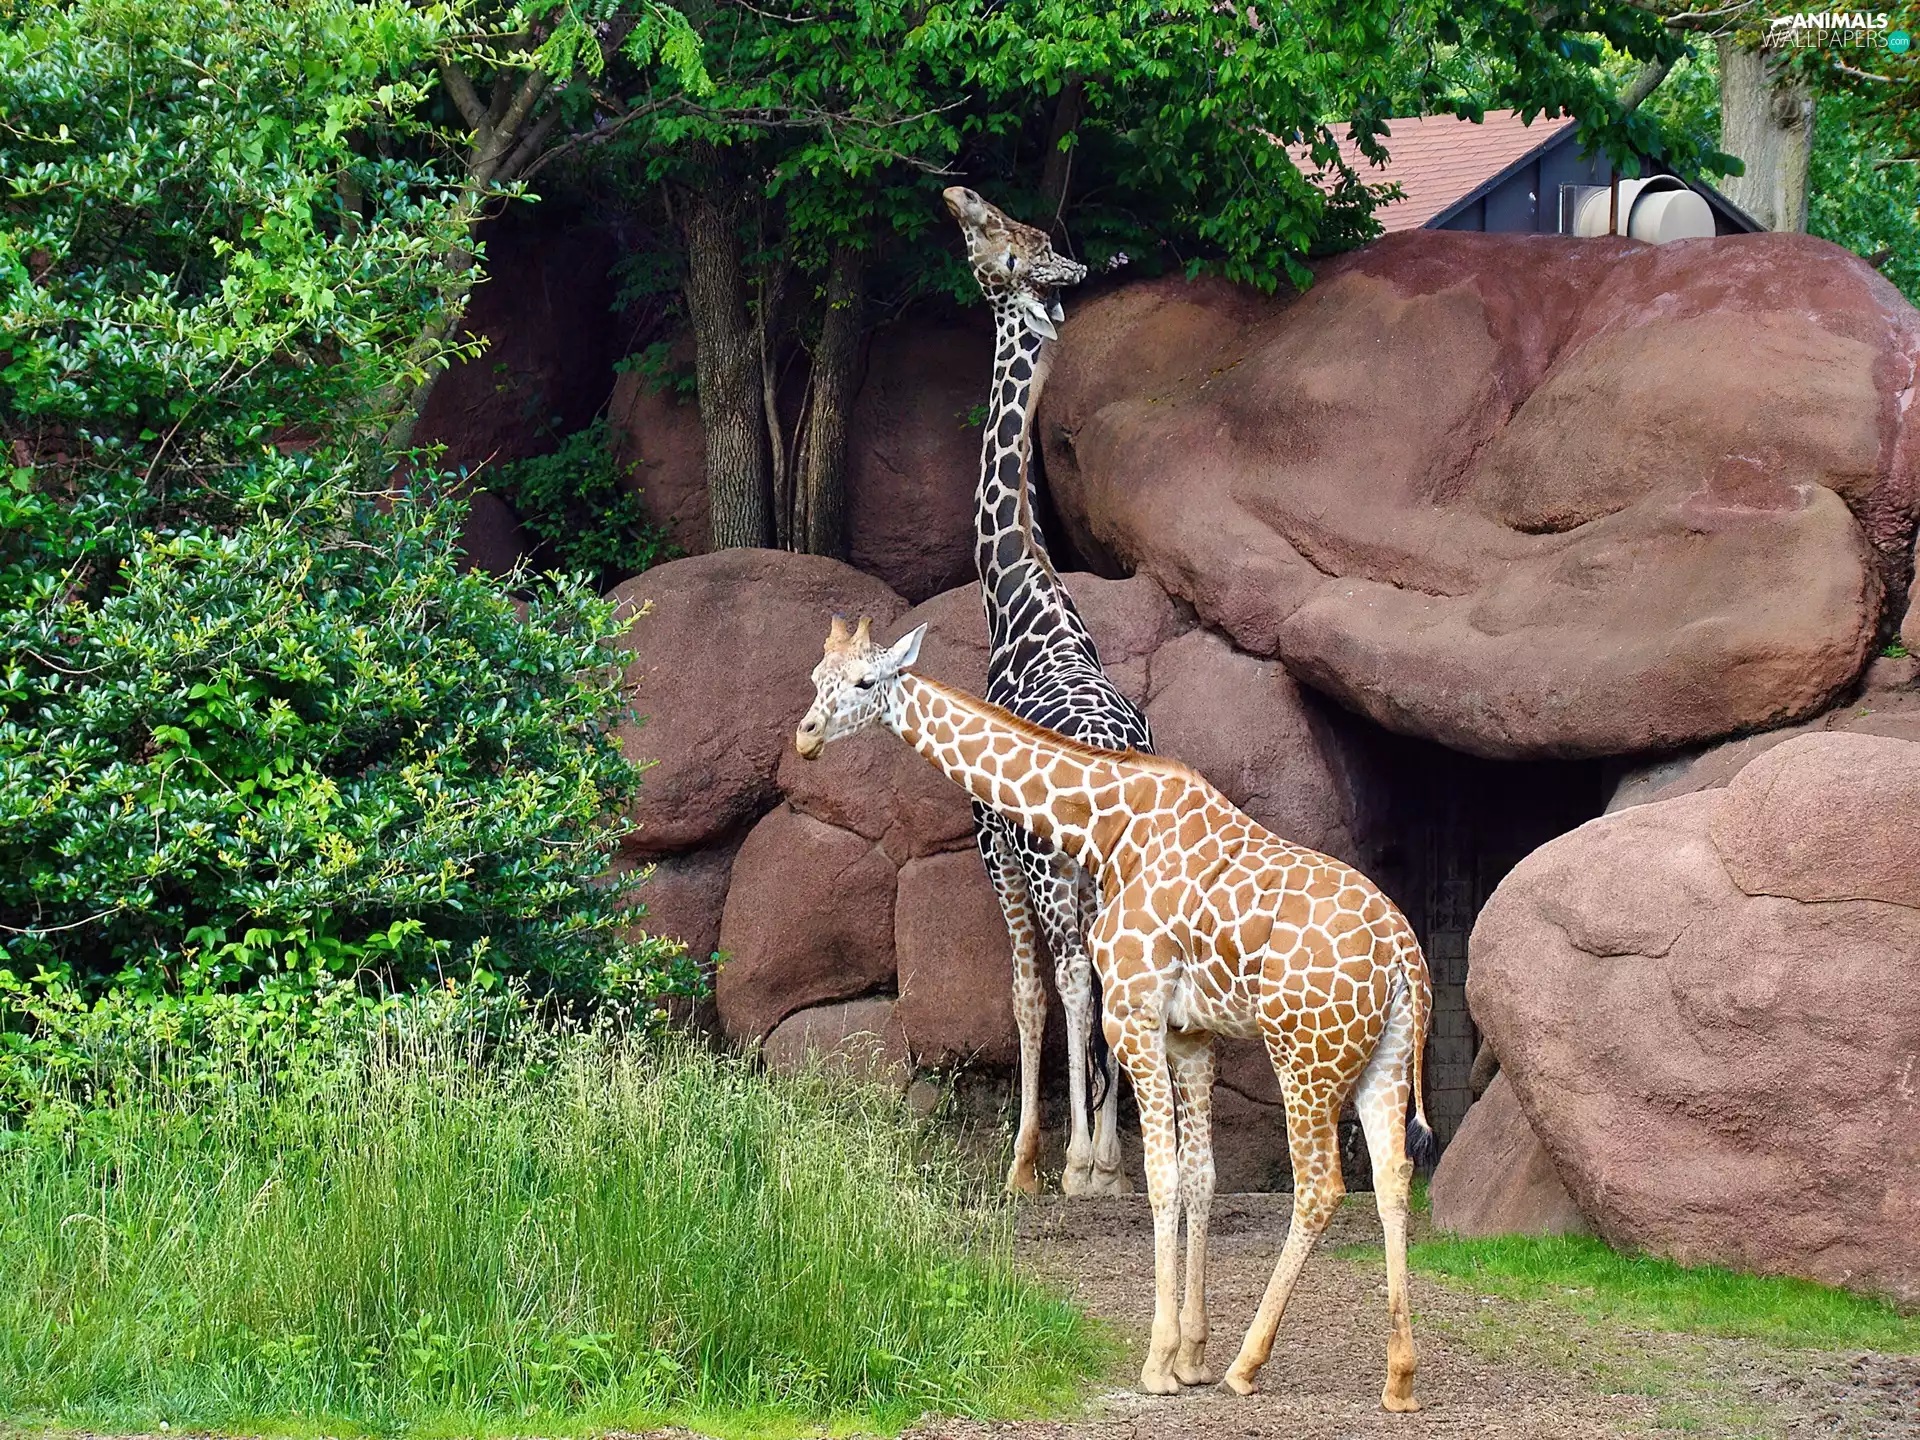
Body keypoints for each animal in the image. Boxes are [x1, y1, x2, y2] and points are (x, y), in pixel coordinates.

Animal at [796, 616, 1435, 1409]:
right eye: (813, 678)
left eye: (865, 682)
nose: (806, 735)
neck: (1109, 825)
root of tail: (1406, 959)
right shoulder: (1192, 1033)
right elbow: (1200, 1177)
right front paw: (1191, 1354)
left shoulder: (1133, 1013)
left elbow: (1160, 1176)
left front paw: (1160, 1362)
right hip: (1384, 1056)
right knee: (1394, 1179)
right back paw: (1398, 1377)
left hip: (1304, 1055)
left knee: (1322, 1186)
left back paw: (1249, 1363)